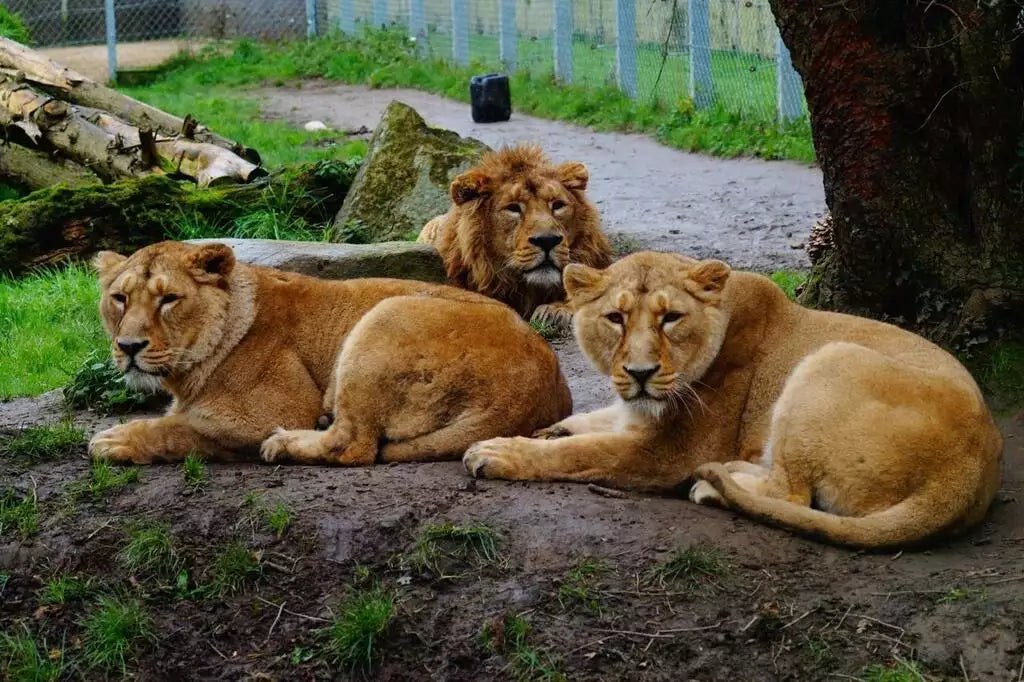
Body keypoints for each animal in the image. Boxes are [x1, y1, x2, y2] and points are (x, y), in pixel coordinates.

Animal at [89, 238, 573, 462]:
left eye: (168, 299)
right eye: (120, 299)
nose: (129, 346)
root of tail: (538, 388)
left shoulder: (271, 410)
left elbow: (183, 428)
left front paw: (115, 439)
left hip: (385, 315)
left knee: (354, 445)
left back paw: (285, 444)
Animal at [462, 249, 999, 548]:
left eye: (671, 318)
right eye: (615, 319)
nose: (640, 373)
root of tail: (969, 471)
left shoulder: (670, 453)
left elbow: (580, 452)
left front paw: (499, 452)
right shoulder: (634, 413)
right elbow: (594, 420)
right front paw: (551, 428)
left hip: (830, 357)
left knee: (791, 494)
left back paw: (715, 485)